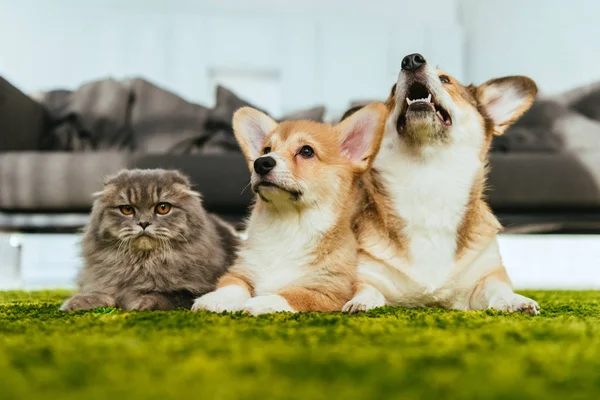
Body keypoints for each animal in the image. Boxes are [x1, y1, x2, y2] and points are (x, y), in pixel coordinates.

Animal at [60, 167, 239, 310]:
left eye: (163, 208)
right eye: (127, 209)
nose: (144, 223)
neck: (144, 264)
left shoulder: (193, 291)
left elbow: (163, 295)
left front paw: (140, 303)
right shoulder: (101, 283)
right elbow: (100, 293)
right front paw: (76, 303)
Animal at [193, 103, 390, 316]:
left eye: (307, 151)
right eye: (266, 150)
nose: (261, 162)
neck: (288, 225)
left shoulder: (327, 292)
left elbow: (292, 294)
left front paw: (260, 303)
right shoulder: (240, 272)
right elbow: (231, 287)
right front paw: (213, 300)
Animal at [344, 53, 540, 314]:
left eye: (445, 79)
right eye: (394, 90)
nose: (411, 60)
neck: (429, 179)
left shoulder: (486, 278)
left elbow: (497, 289)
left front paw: (515, 300)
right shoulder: (366, 277)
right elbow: (368, 290)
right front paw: (360, 302)